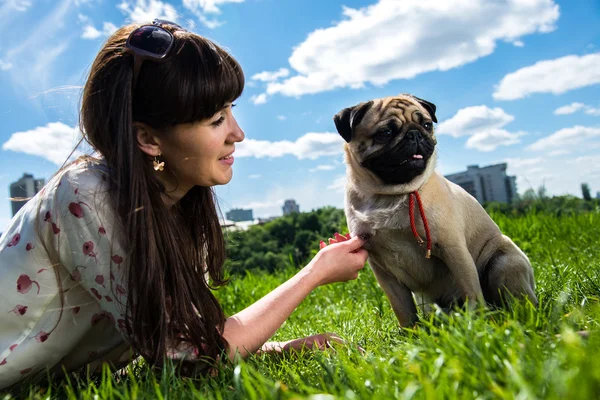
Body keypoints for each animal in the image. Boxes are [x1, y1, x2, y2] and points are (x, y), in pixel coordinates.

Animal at [336, 95, 536, 326]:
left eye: (426, 125)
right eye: (385, 133)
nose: (414, 133)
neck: (390, 194)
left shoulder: (453, 249)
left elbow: (471, 290)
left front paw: (474, 322)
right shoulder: (383, 271)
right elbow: (402, 309)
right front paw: (410, 333)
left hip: (505, 261)